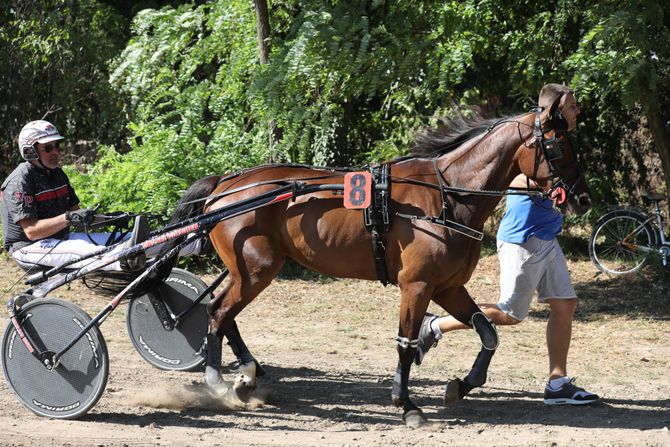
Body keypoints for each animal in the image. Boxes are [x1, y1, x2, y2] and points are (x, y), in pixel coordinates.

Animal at [169, 100, 592, 428]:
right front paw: (407, 406)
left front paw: (461, 384)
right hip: (256, 270)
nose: (582, 198)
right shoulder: (417, 286)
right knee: (217, 313)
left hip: (248, 272)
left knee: (223, 313)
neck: (445, 197)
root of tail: (226, 185)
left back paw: (247, 373)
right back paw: (219, 383)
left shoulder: (447, 286)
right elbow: (406, 344)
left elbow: (487, 331)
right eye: (558, 145)